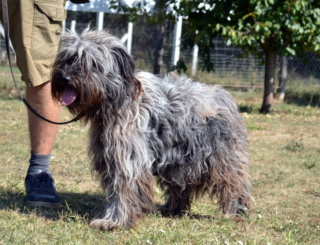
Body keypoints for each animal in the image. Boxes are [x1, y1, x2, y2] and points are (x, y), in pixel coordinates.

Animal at [51, 28, 252, 230]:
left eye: (90, 62)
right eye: (67, 58)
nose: (65, 78)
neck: (119, 101)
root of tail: (223, 95)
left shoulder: (127, 159)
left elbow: (122, 190)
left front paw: (113, 221)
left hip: (220, 157)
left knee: (234, 181)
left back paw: (237, 210)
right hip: (181, 159)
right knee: (182, 184)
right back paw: (173, 209)